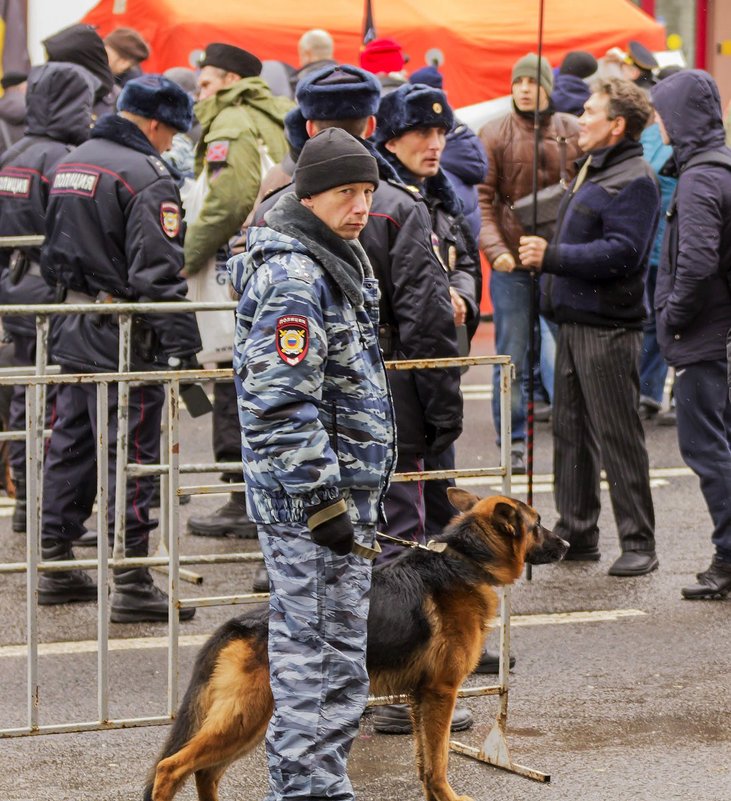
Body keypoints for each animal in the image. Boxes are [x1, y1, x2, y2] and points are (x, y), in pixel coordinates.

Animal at [143, 488, 568, 800]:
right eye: (538, 524)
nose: (565, 544)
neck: (465, 559)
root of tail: (241, 622)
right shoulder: (441, 693)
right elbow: (439, 761)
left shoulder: (421, 699)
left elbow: (425, 762)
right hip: (246, 716)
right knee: (171, 768)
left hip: (249, 721)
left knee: (205, 771)